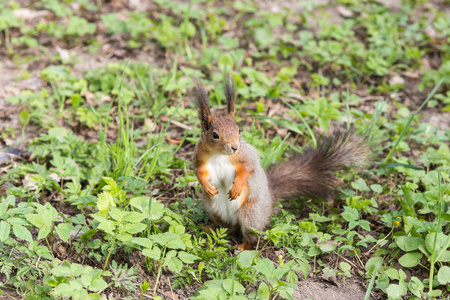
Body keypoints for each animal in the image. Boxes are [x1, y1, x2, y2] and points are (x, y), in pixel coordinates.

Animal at [192, 75, 370, 251]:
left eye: (238, 130)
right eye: (215, 135)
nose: (234, 147)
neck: (219, 155)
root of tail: (269, 201)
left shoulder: (246, 155)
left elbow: (248, 169)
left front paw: (237, 187)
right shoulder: (200, 158)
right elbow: (199, 173)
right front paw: (207, 186)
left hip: (251, 213)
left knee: (251, 234)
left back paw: (244, 246)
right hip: (213, 209)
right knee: (229, 227)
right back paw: (213, 228)